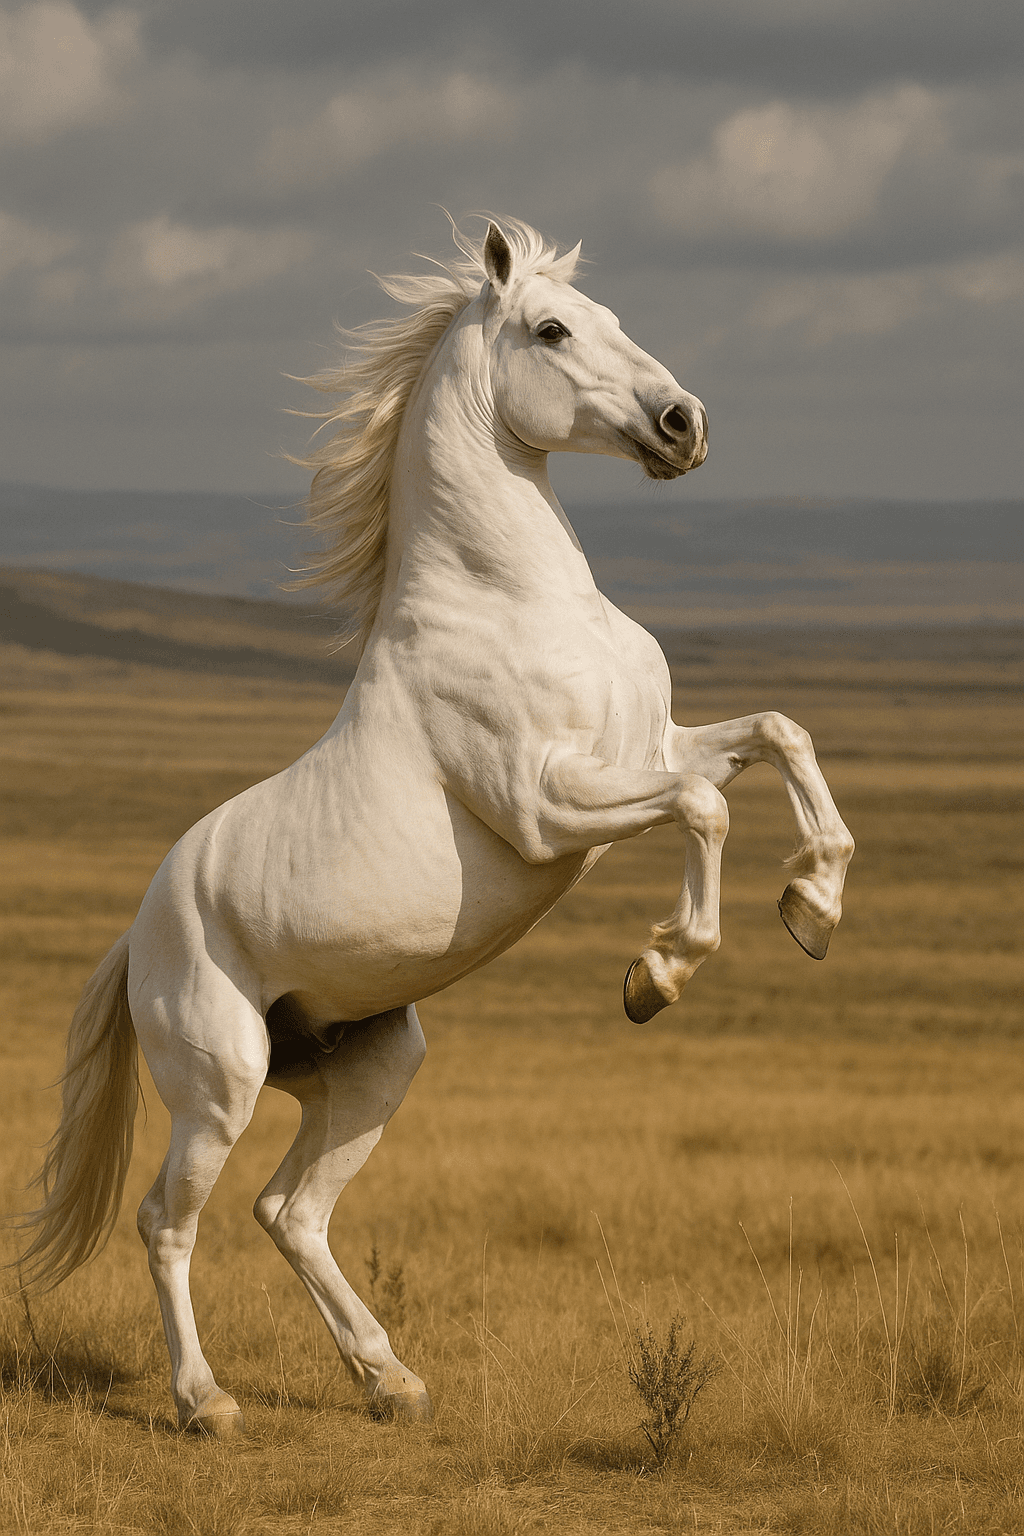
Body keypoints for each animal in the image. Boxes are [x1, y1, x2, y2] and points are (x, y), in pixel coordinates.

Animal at [17, 216, 854, 1438]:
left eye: (609, 316)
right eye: (551, 330)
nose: (683, 425)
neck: (514, 600)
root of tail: (138, 937)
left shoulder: (648, 750)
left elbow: (779, 736)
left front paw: (814, 904)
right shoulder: (554, 805)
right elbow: (706, 806)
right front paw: (658, 973)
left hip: (368, 1069)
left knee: (290, 1212)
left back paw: (390, 1380)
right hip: (218, 1085)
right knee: (170, 1220)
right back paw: (206, 1403)